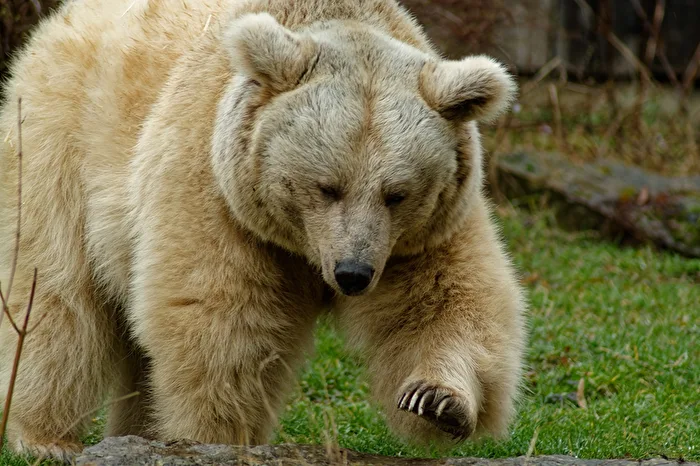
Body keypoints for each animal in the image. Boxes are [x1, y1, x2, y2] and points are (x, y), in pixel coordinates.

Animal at [0, 0, 527, 461]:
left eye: (396, 193)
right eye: (327, 186)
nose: (352, 273)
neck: (299, 242)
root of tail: (61, 19)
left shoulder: (420, 234)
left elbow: (446, 301)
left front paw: (436, 400)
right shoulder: (218, 191)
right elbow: (221, 321)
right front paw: (215, 437)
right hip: (62, 141)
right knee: (57, 296)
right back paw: (46, 437)